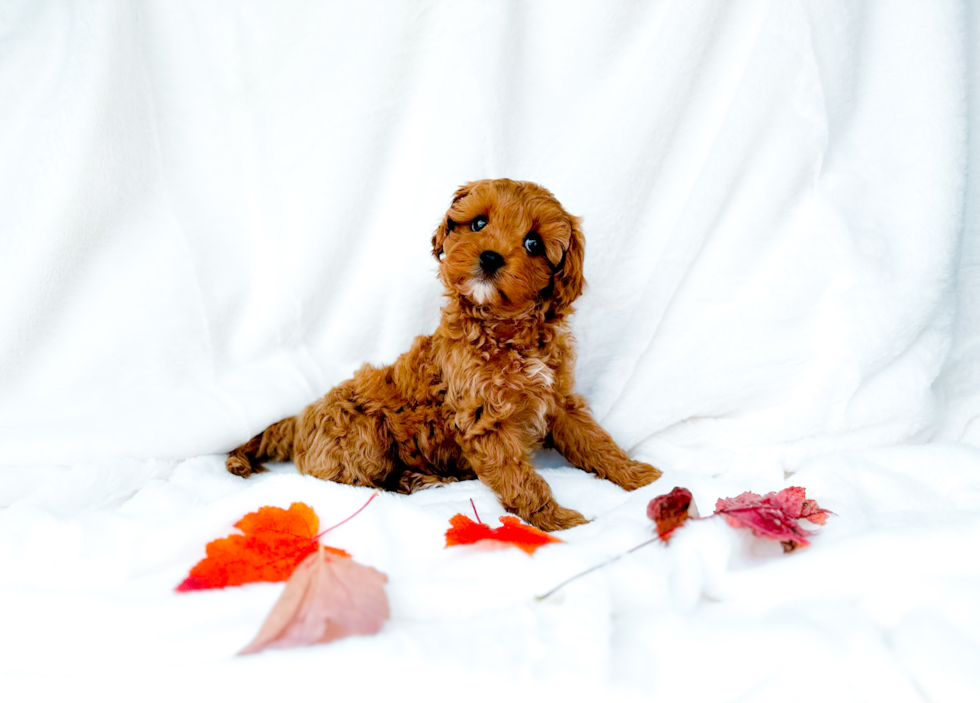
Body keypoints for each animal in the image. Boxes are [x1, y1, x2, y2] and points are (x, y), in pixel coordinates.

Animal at [226, 179, 664, 532]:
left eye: (534, 244)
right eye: (478, 224)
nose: (490, 257)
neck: (507, 331)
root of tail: (300, 418)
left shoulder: (559, 399)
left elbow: (596, 441)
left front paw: (638, 476)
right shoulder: (484, 417)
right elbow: (519, 475)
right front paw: (555, 519)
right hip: (363, 432)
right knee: (349, 478)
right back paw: (414, 480)